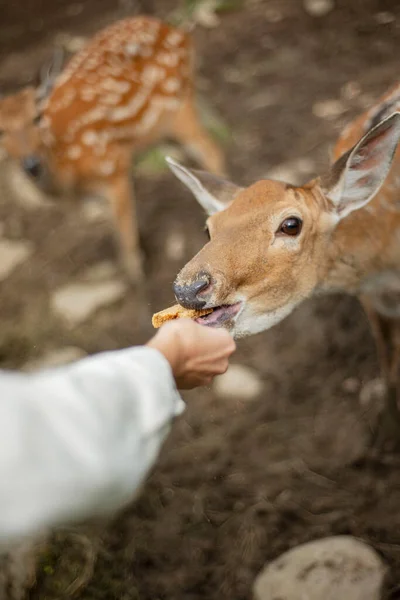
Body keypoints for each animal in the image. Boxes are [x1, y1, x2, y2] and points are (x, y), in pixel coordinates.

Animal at [0, 15, 225, 280]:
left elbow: (124, 227)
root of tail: (175, 30)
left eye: (36, 118)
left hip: (178, 105)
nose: (31, 165)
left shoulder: (113, 165)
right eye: (1, 131)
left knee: (211, 149)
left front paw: (136, 274)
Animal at [165, 86, 400, 448]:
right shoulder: (372, 300)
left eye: (291, 225)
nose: (189, 287)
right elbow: (388, 361)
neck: (385, 266)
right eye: (208, 228)